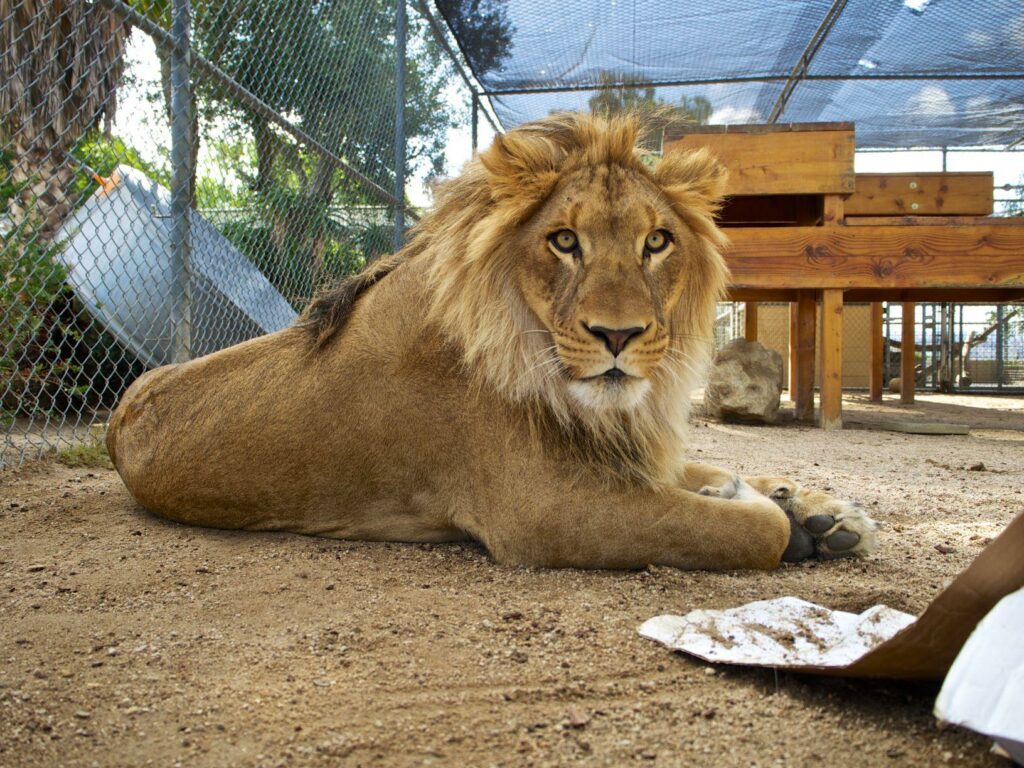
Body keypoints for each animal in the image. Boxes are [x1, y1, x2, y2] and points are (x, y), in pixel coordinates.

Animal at [110, 112, 880, 573]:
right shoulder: (545, 512)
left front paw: (818, 510)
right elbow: (751, 532)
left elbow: (715, 472)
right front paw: (777, 517)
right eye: (564, 241)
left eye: (657, 242)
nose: (619, 334)